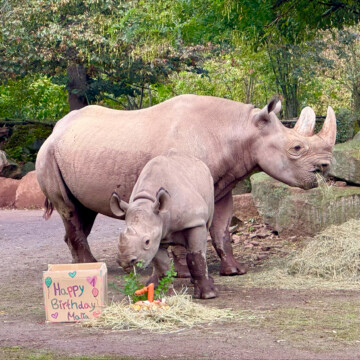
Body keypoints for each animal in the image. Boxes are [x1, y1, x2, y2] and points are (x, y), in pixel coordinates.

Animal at [109, 150, 217, 300]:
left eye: (147, 241)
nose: (125, 262)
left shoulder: (194, 221)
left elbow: (195, 256)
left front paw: (208, 295)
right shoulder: (157, 234)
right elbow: (162, 264)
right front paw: (167, 295)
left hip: (208, 186)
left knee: (203, 238)